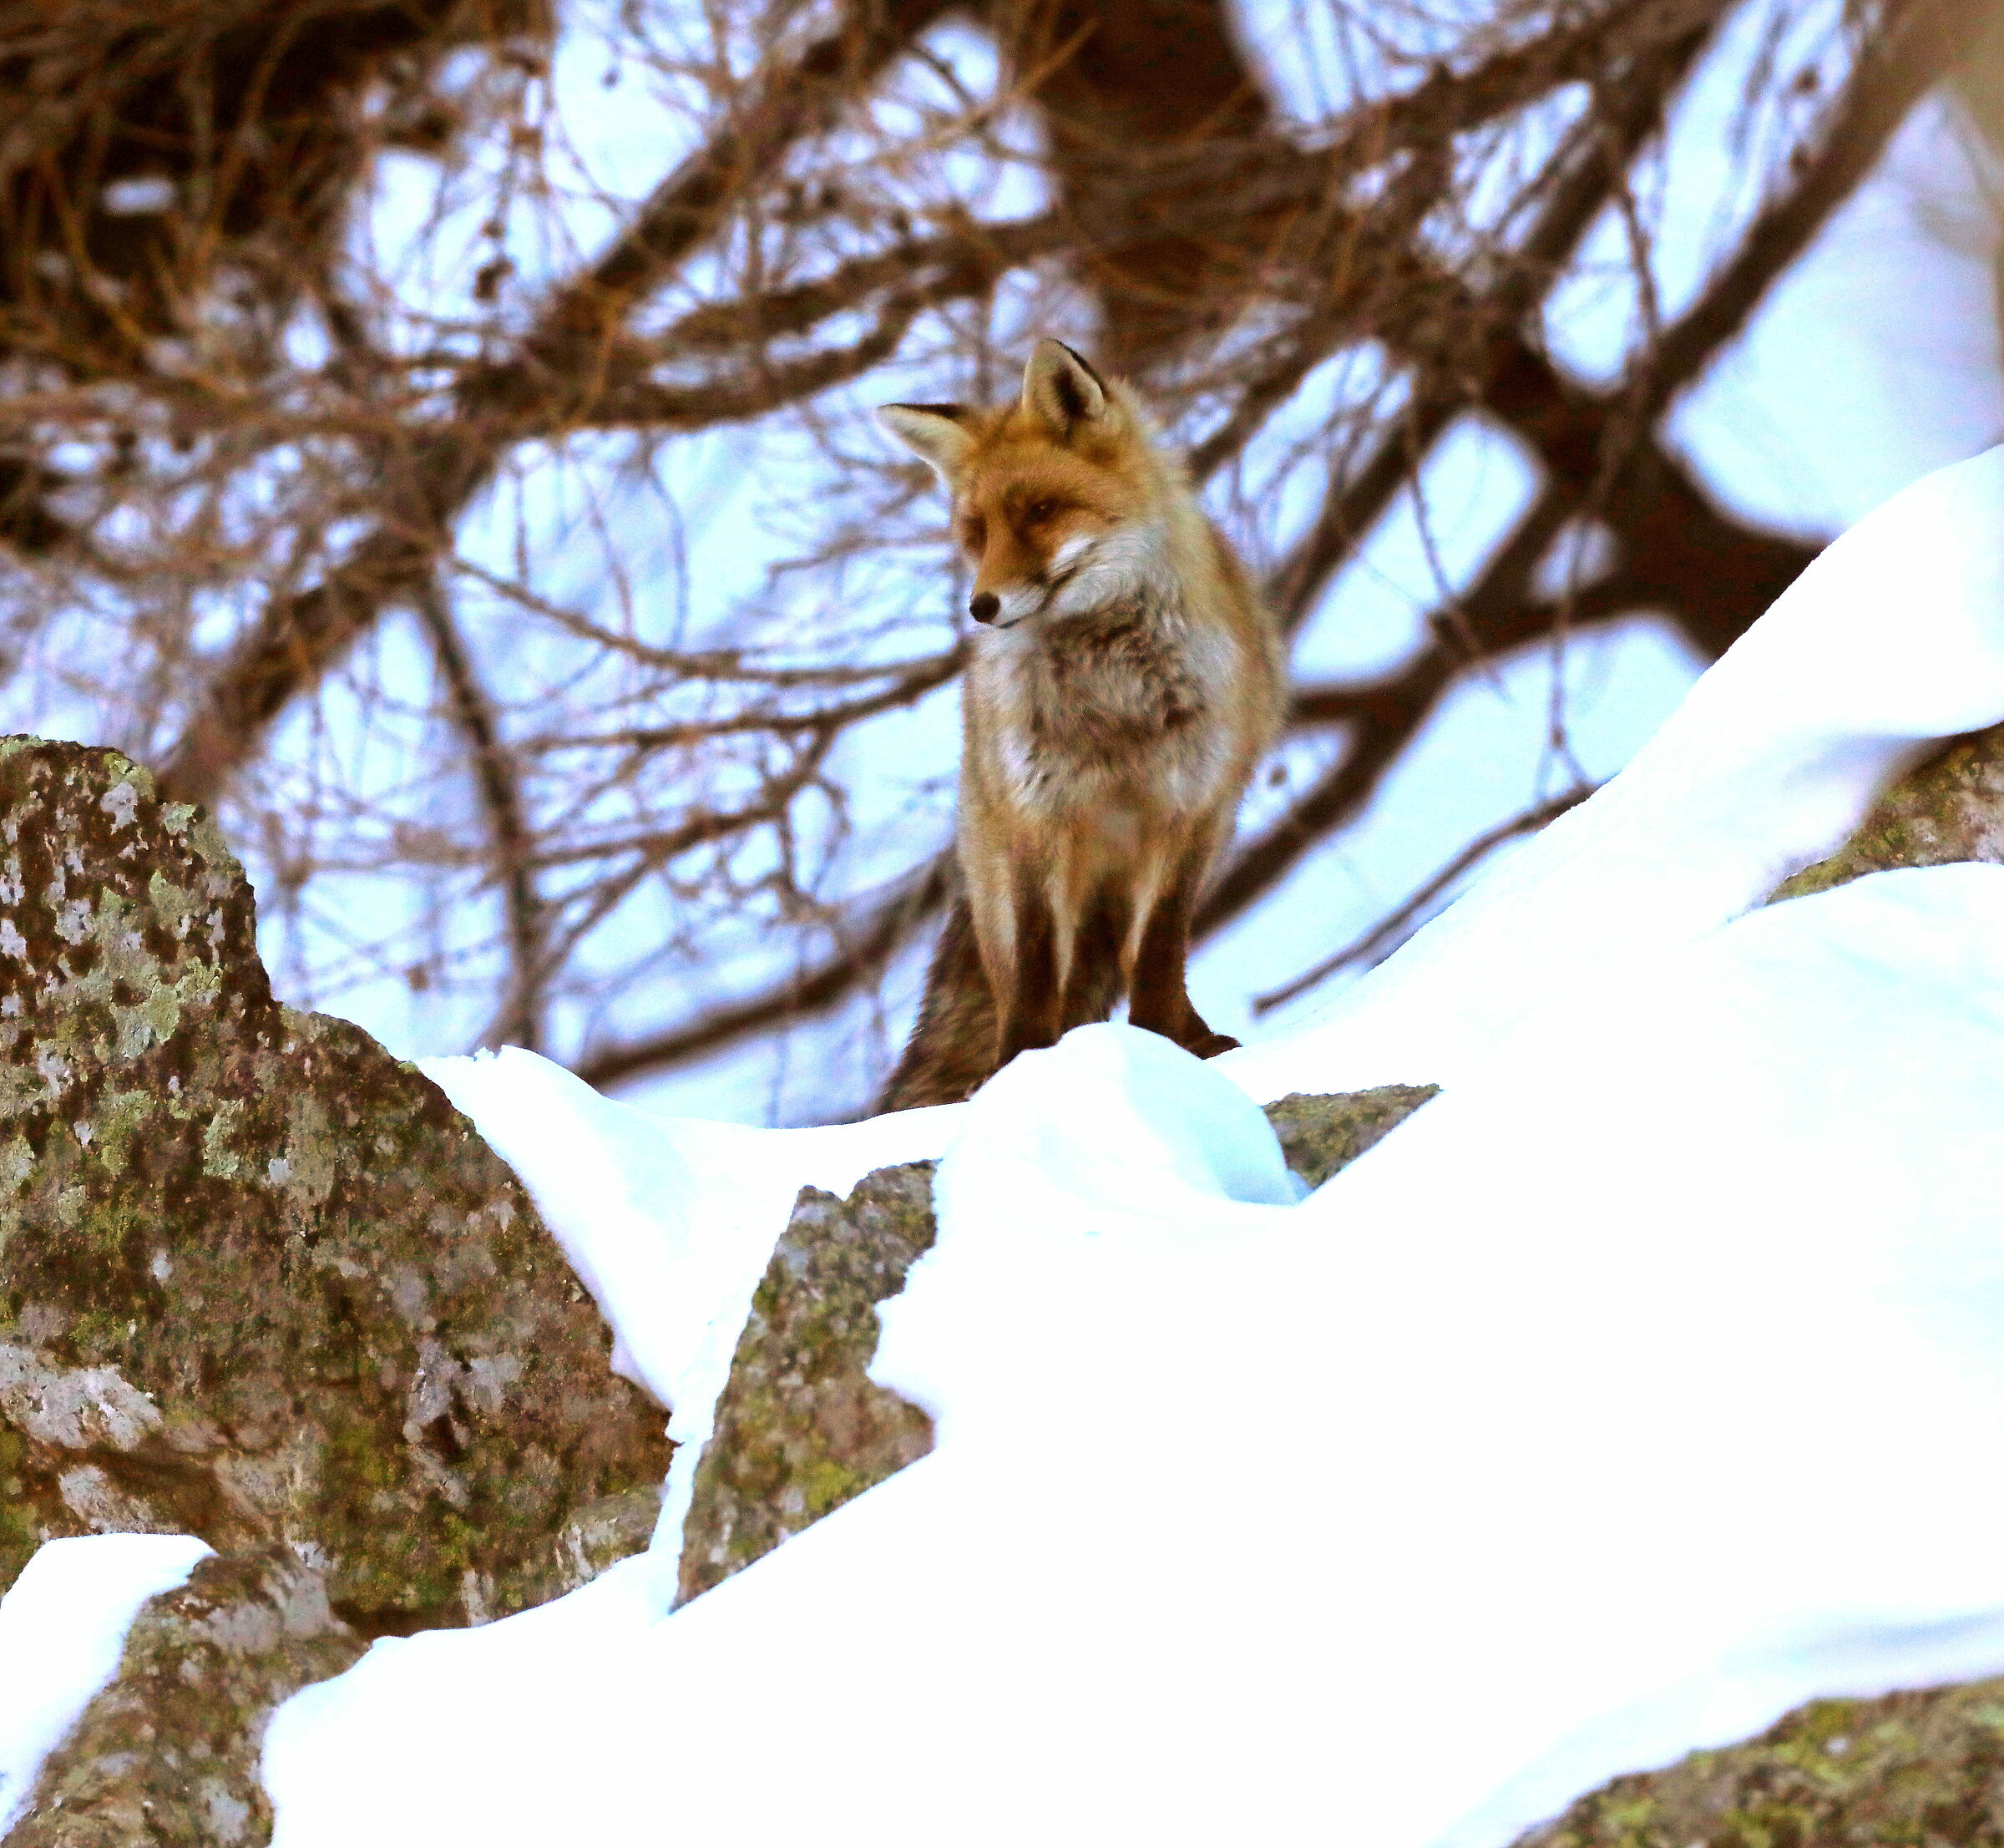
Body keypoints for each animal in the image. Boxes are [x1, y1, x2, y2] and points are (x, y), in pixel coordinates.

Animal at [874, 338, 1285, 1112]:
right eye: (977, 534)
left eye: (1041, 510)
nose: (981, 607)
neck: (1113, 703)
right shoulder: (1040, 814)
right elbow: (1038, 967)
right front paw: (1021, 1069)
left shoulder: (1188, 805)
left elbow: (1157, 955)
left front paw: (1168, 1051)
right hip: (1001, 869)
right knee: (1030, 976)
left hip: (1205, 838)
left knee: (1137, 954)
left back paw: (1194, 1034)